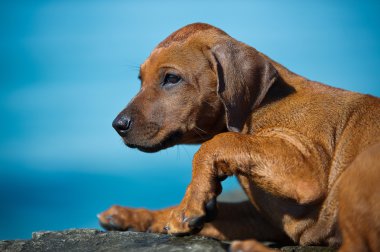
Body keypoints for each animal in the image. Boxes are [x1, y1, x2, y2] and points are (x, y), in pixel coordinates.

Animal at [98, 22, 380, 251]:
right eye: (140, 80)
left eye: (171, 78)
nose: (117, 125)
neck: (259, 106)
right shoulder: (262, 219)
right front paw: (135, 215)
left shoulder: (307, 172)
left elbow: (219, 142)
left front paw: (190, 202)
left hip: (359, 169)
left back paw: (250, 248)